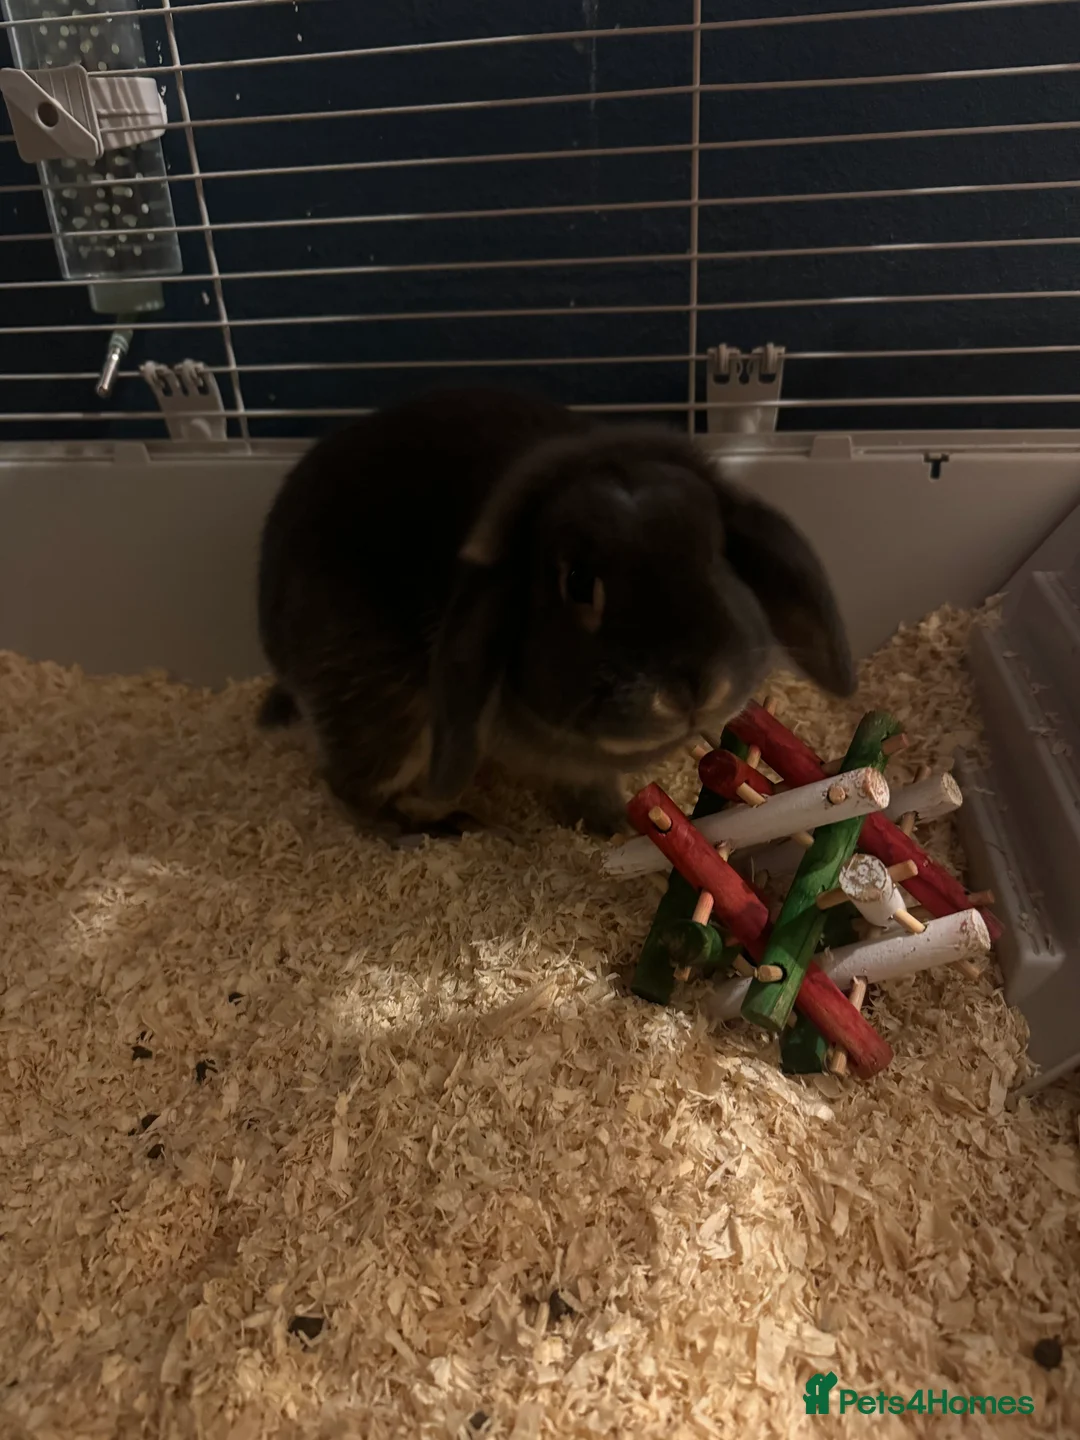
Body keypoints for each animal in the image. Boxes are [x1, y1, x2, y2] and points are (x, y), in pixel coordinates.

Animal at [256, 386, 855, 840]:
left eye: (718, 552)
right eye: (578, 584)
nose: (693, 686)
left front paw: (614, 826)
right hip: (379, 709)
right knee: (350, 786)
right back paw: (435, 828)